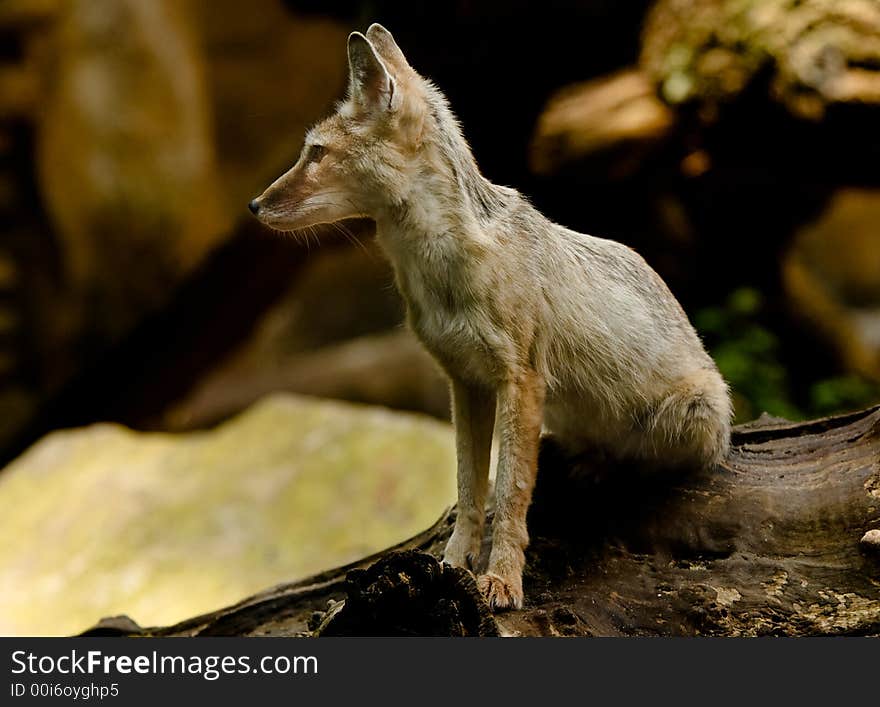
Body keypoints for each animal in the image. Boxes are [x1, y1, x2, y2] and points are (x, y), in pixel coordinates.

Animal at [248, 22, 728, 608]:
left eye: (315, 153)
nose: (253, 205)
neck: (439, 272)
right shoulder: (466, 382)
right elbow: (471, 487)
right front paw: (451, 564)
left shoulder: (518, 380)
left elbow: (511, 492)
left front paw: (502, 579)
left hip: (689, 415)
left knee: (640, 460)